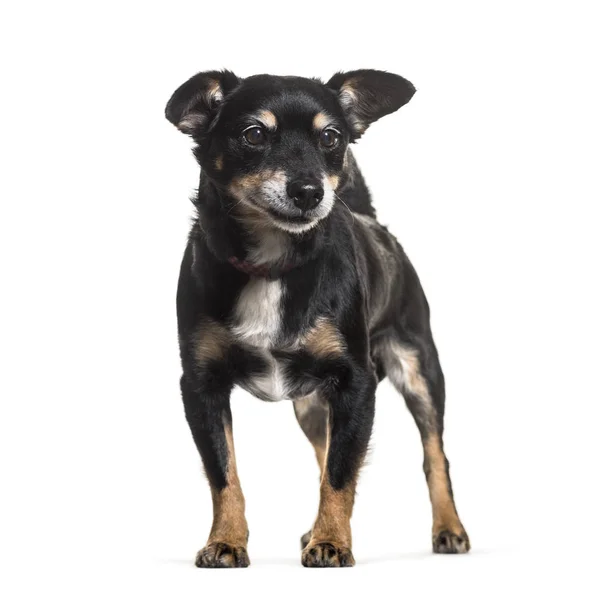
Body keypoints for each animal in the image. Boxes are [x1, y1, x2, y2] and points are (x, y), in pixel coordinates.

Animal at [165, 69, 468, 568]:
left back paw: (448, 529)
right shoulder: (201, 386)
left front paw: (332, 542)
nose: (310, 191)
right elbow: (224, 473)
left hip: (419, 370)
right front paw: (226, 541)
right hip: (311, 406)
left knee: (432, 455)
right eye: (254, 134)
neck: (274, 264)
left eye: (332, 137)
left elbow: (342, 473)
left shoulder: (356, 384)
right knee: (326, 451)